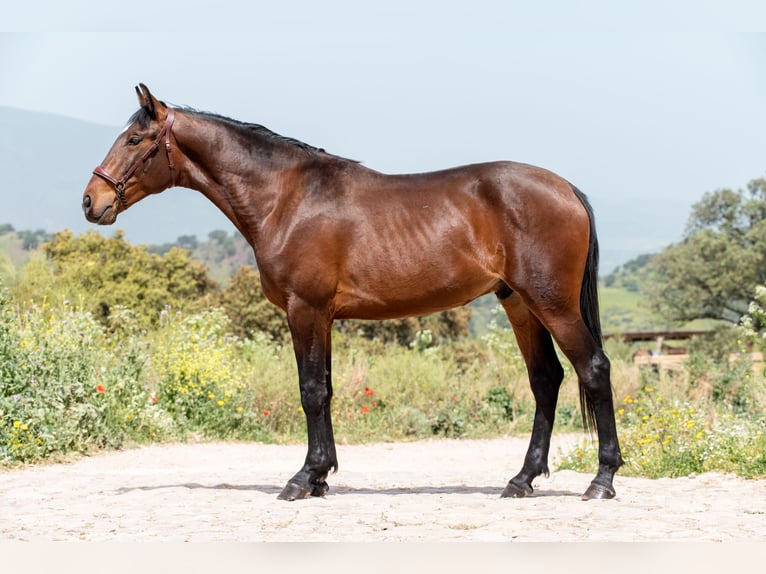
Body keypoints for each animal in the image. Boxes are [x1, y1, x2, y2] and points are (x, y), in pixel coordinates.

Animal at [82, 85, 624, 504]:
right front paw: (321, 478)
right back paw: (521, 480)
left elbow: (310, 392)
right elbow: (325, 390)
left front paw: (302, 479)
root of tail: (567, 189)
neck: (286, 198)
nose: (92, 201)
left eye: (135, 139)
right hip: (519, 304)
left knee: (593, 370)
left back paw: (601, 480)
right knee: (546, 380)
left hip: (552, 305)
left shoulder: (304, 310)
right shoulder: (322, 316)